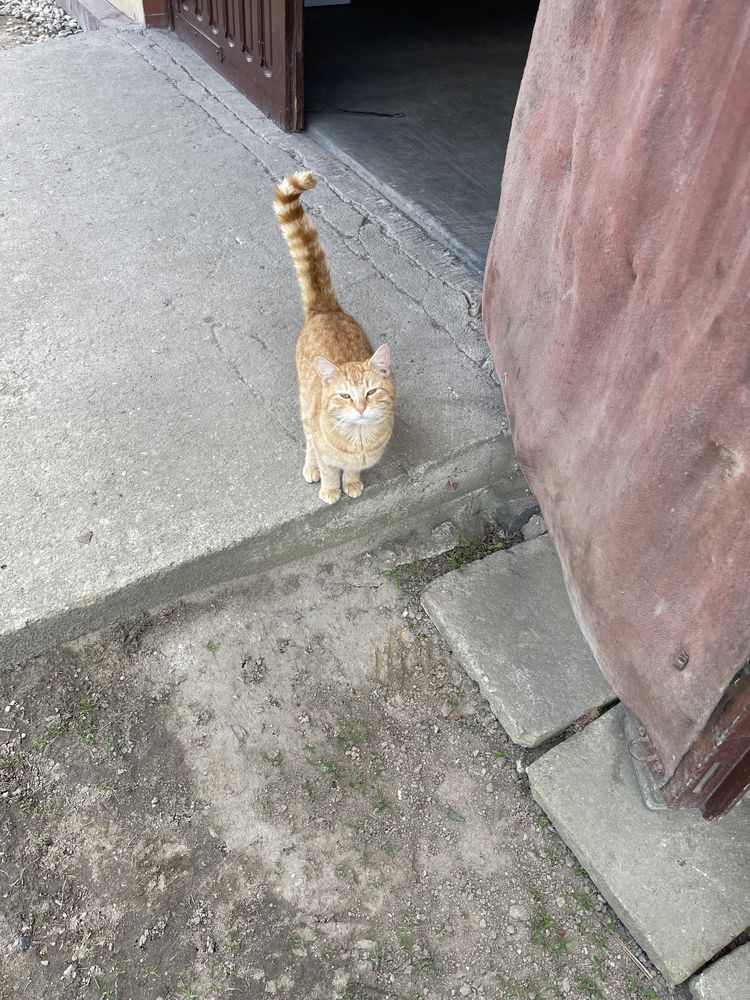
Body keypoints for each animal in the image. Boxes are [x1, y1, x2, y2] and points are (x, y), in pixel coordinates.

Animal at [274, 170, 394, 508]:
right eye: (344, 396)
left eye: (371, 392)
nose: (361, 408)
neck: (360, 439)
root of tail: (327, 309)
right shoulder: (324, 446)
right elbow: (328, 468)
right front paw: (330, 489)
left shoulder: (359, 460)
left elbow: (352, 471)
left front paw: (351, 483)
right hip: (305, 404)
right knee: (308, 439)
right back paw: (311, 466)